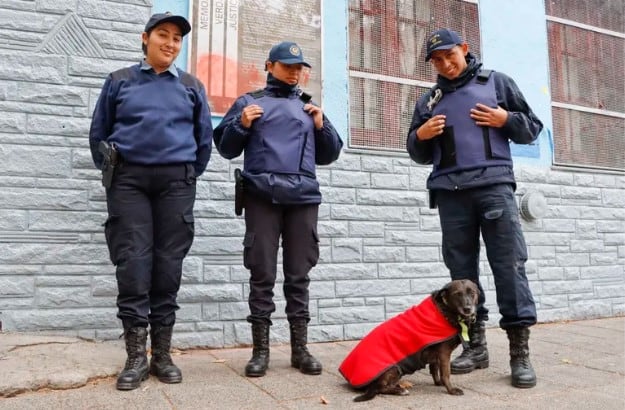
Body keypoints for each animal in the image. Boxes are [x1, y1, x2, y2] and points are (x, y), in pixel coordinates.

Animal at [338, 278, 476, 400]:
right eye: (457, 294)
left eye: (472, 293)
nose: (468, 308)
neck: (444, 311)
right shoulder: (444, 353)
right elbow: (446, 373)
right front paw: (451, 390)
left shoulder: (437, 352)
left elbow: (434, 369)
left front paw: (438, 383)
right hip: (394, 368)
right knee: (379, 388)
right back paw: (400, 391)